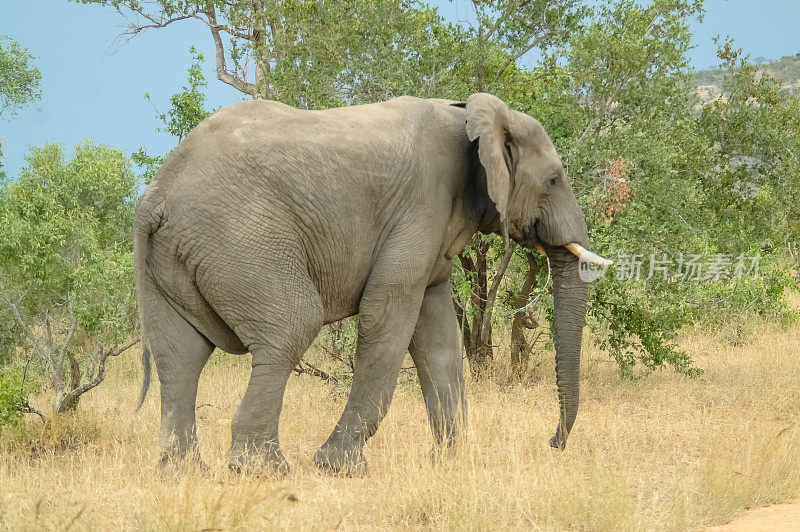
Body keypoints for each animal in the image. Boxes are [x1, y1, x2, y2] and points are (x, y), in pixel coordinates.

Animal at [134, 90, 608, 474]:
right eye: (553, 180)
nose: (553, 442)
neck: (470, 116)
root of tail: (155, 197)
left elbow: (438, 337)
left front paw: (449, 464)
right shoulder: (421, 203)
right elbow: (388, 312)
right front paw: (340, 468)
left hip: (174, 257)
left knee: (180, 354)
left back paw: (184, 473)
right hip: (242, 239)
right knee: (291, 326)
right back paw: (261, 470)